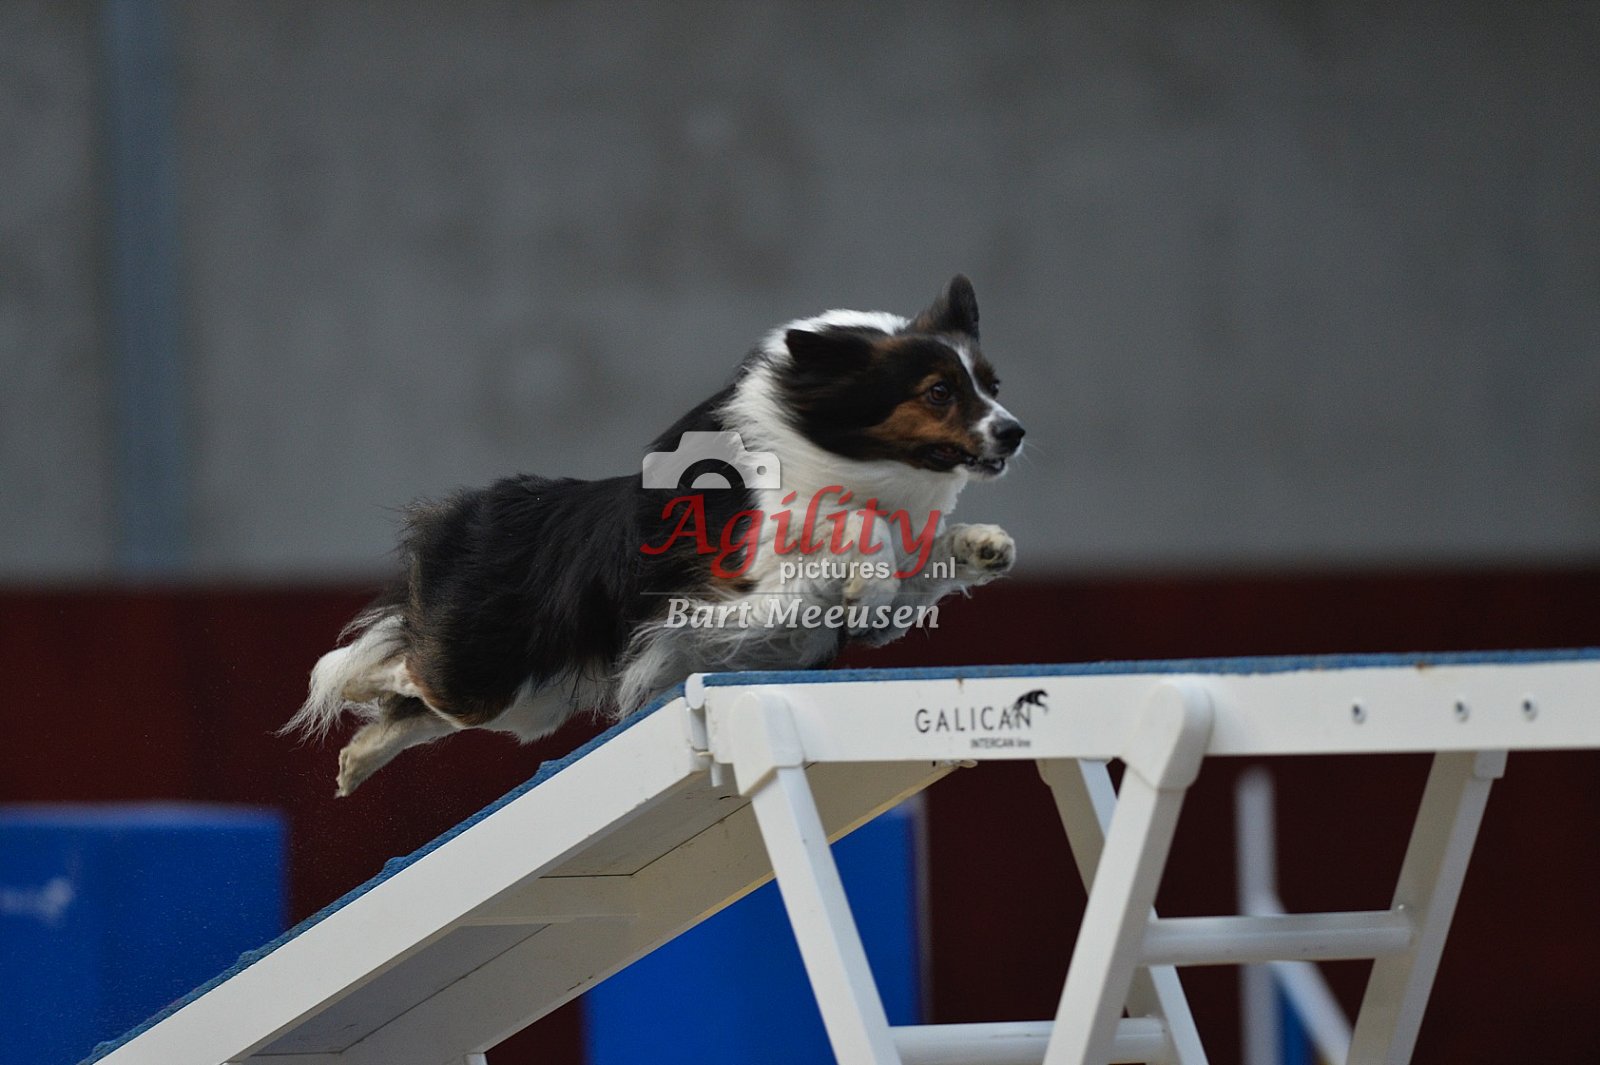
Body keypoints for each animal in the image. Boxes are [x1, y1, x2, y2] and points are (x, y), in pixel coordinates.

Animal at [285, 275, 1024, 795]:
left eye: (991, 385)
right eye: (938, 392)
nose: (1014, 431)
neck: (837, 449)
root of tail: (476, 509)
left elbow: (911, 562)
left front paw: (981, 544)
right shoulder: (738, 577)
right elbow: (854, 531)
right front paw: (866, 574)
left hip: (529, 698)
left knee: (420, 706)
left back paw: (355, 760)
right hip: (488, 669)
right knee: (396, 664)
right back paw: (348, 682)